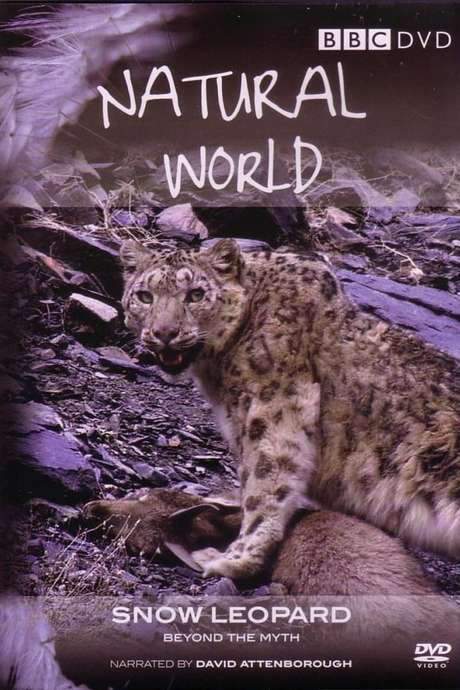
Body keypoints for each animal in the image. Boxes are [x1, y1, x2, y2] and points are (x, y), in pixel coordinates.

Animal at [120, 237, 460, 580]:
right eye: (144, 296)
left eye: (196, 294)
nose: (164, 333)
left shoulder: (274, 409)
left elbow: (263, 484)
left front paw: (234, 559)